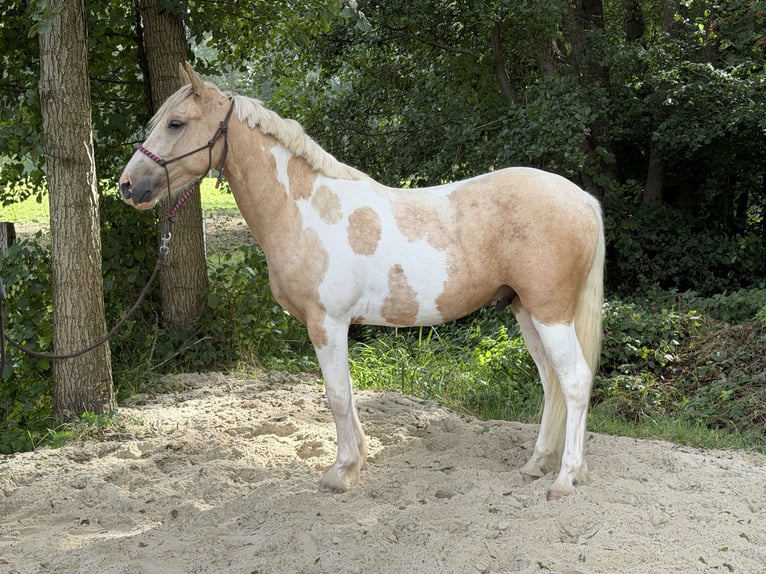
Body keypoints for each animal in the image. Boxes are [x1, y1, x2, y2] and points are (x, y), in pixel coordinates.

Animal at [119, 62, 605, 500]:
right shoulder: (337, 327)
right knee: (551, 383)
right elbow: (348, 394)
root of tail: (582, 198)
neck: (309, 211)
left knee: (575, 381)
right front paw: (356, 463)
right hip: (526, 311)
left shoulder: (326, 323)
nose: (127, 186)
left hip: (550, 313)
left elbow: (336, 396)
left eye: (177, 123)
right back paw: (536, 464)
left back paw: (565, 478)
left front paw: (341, 473)